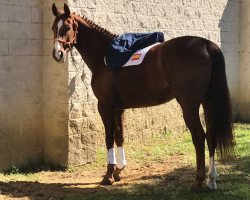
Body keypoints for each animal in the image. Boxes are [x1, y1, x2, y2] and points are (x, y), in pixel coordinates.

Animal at [50, 2, 234, 191]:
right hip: (207, 102)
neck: (104, 56)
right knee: (211, 136)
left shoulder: (105, 106)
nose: (58, 54)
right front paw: (119, 171)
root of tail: (205, 44)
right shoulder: (118, 109)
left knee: (199, 136)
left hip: (189, 104)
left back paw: (198, 181)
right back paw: (211, 179)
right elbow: (119, 136)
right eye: (53, 28)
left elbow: (109, 138)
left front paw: (108, 175)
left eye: (67, 27)